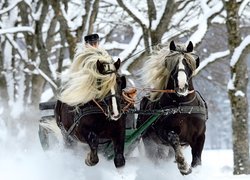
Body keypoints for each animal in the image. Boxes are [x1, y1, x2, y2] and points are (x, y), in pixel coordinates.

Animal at [137, 40, 207, 174]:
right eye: (172, 65)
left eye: (188, 64)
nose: (181, 86)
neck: (184, 106)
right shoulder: (165, 132)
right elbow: (174, 139)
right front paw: (183, 165)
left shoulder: (200, 137)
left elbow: (197, 161)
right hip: (150, 143)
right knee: (155, 159)